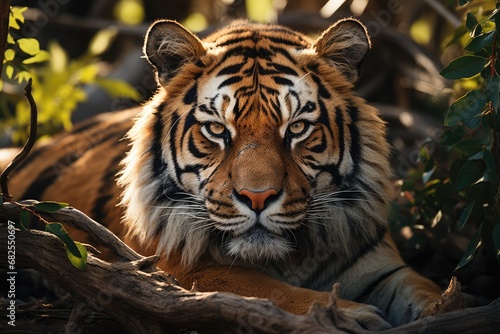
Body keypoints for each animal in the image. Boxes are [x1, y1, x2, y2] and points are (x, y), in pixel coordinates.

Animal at [5, 18, 462, 328]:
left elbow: (429, 291)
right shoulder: (173, 273)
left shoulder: (383, 268)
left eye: (297, 128)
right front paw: (350, 316)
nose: (258, 197)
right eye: (217, 130)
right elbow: (264, 289)